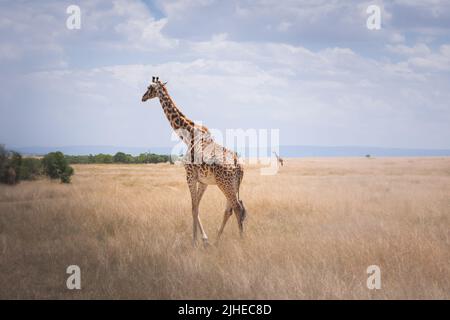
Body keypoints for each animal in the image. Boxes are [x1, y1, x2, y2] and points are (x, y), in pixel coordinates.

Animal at [141, 77, 246, 245]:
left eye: (149, 87)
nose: (143, 97)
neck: (188, 134)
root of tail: (238, 165)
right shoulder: (203, 181)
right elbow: (197, 206)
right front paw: (204, 239)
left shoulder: (190, 175)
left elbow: (193, 207)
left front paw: (195, 240)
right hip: (233, 184)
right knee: (231, 209)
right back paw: (217, 240)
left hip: (225, 184)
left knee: (237, 207)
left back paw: (240, 240)